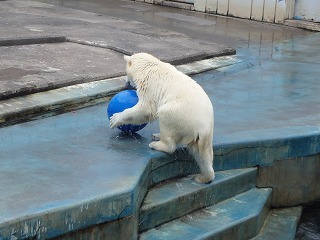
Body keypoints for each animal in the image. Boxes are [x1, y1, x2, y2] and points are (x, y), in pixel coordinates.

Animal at [110, 53, 215, 184]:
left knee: (165, 117)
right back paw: (202, 177)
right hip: (201, 137)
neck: (149, 67)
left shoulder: (148, 85)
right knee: (203, 155)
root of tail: (203, 129)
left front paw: (115, 118)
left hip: (179, 114)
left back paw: (156, 143)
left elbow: (146, 109)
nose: (126, 83)